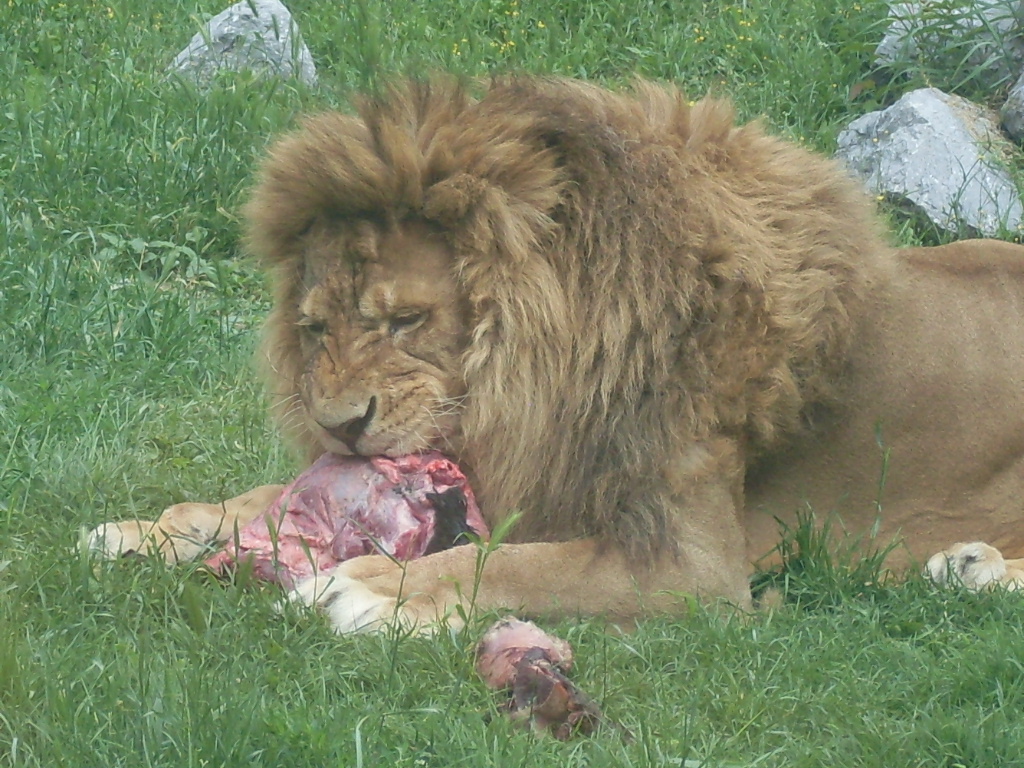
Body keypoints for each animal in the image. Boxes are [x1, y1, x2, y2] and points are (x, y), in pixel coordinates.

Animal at [89, 77, 1024, 632]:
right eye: (315, 328)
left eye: (404, 321)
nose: (340, 426)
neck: (539, 374)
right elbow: (259, 496)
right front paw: (153, 529)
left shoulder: (694, 564)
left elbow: (513, 564)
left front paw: (367, 586)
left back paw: (974, 568)